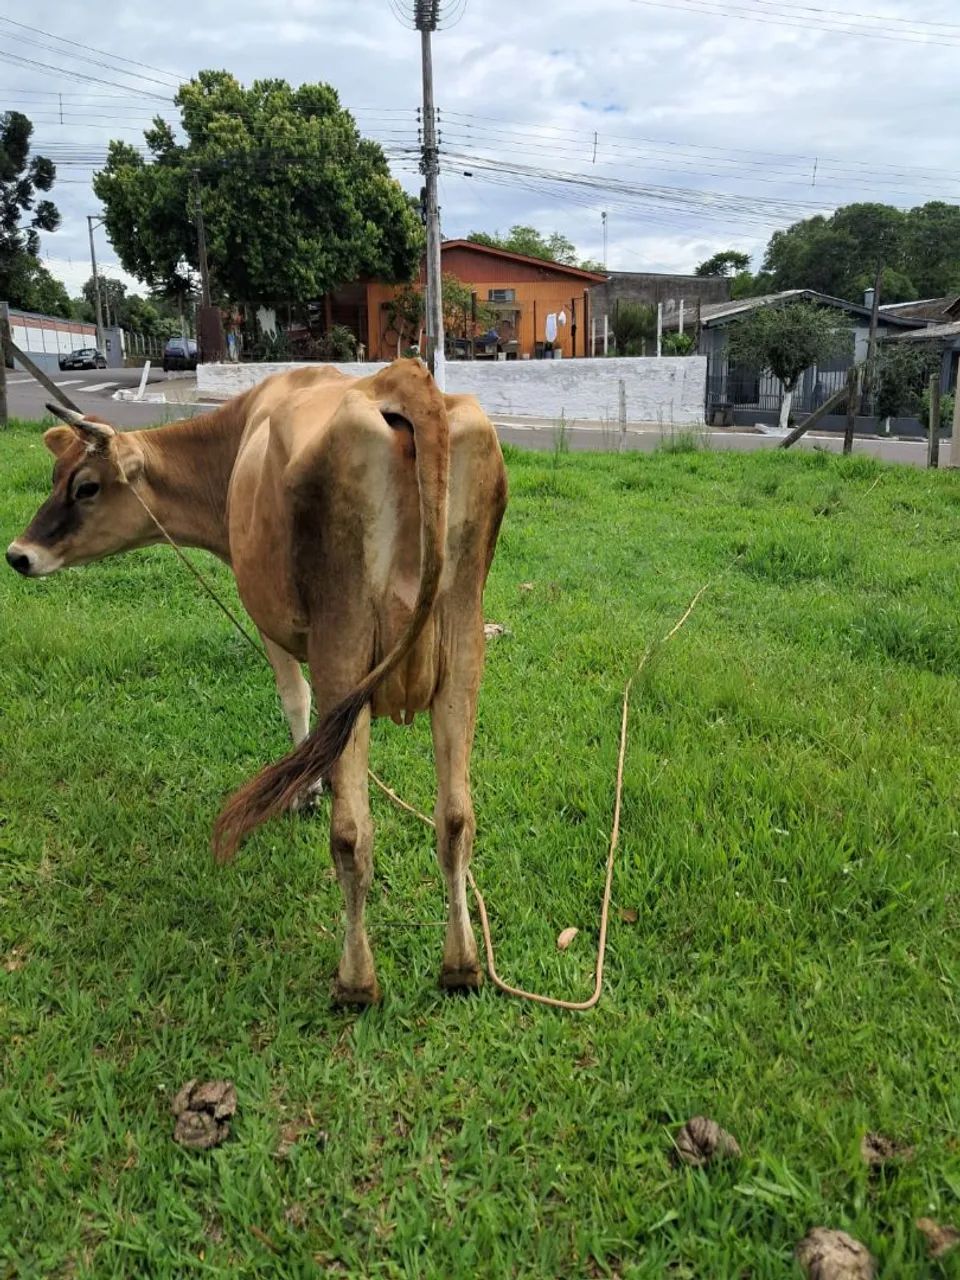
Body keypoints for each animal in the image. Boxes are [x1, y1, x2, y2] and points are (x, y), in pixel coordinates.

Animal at [6, 359, 508, 1005]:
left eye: (86, 485)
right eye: (54, 475)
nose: (18, 554)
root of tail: (401, 379)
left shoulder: (274, 625)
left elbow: (296, 700)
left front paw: (307, 791)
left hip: (343, 641)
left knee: (353, 834)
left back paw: (355, 981)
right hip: (464, 648)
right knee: (455, 820)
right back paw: (462, 966)